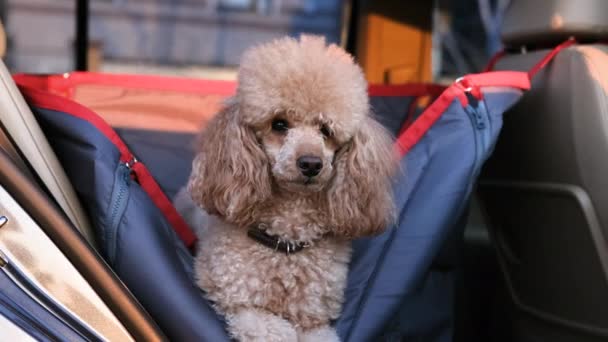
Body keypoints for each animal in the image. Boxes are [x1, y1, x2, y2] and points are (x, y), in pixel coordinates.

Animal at [183, 35, 396, 342]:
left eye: (326, 130)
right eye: (279, 124)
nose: (311, 163)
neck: (287, 240)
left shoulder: (315, 320)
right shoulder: (239, 301)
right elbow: (274, 329)